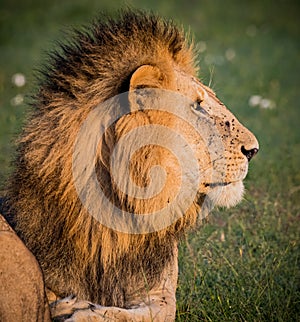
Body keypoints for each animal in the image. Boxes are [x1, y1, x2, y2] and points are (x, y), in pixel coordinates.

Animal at [0, 10, 258, 322]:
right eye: (197, 106)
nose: (254, 150)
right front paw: (70, 307)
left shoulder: (160, 294)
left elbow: (131, 314)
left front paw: (79, 311)